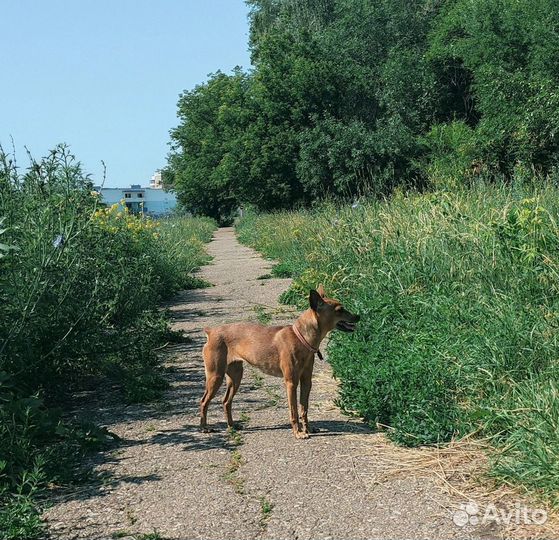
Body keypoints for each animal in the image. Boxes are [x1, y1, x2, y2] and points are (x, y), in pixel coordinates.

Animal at [199, 284, 360, 436]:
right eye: (340, 310)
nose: (358, 316)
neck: (301, 338)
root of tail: (211, 332)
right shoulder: (291, 383)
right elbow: (294, 411)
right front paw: (298, 433)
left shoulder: (306, 381)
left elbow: (304, 409)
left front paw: (308, 429)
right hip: (215, 376)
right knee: (204, 401)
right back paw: (204, 427)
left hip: (236, 376)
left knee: (226, 401)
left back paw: (231, 425)